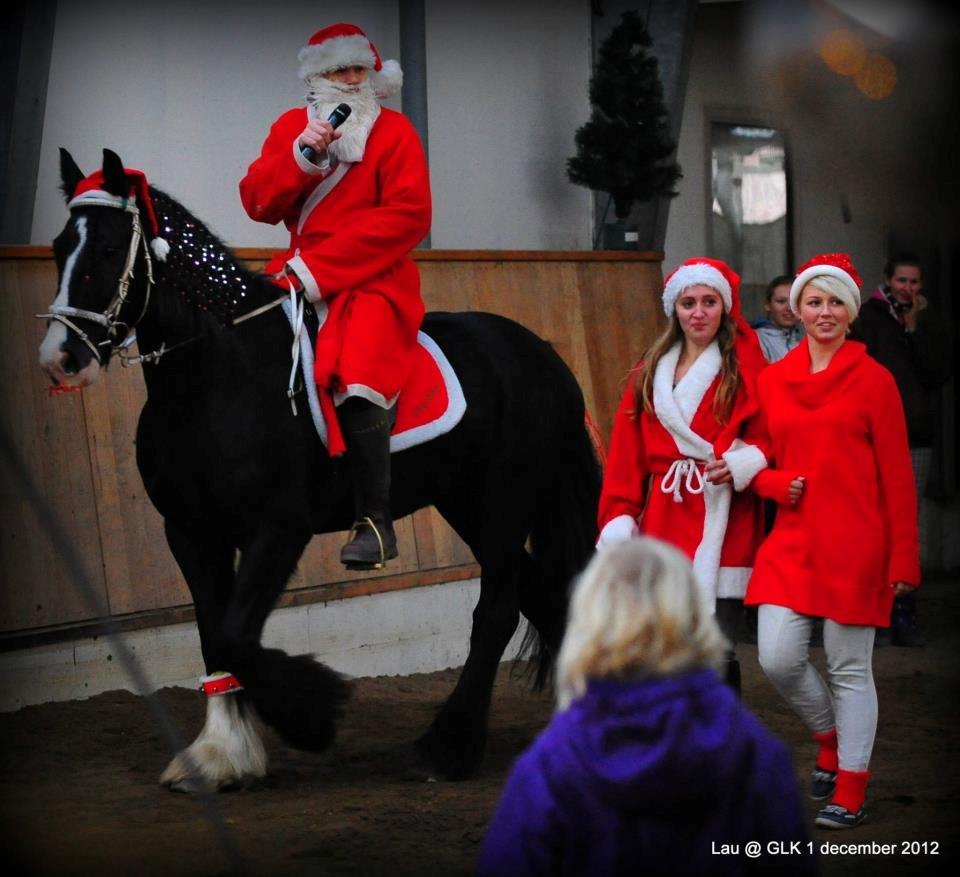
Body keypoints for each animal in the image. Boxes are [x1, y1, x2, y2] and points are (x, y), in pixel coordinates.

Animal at [41, 149, 604, 788]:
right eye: (60, 246)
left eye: (110, 249)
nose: (62, 358)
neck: (213, 378)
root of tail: (544, 353)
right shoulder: (190, 530)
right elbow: (214, 637)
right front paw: (220, 755)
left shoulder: (279, 527)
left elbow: (235, 634)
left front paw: (313, 715)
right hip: (467, 503)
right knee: (539, 592)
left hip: (505, 499)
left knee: (500, 607)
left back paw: (449, 748)